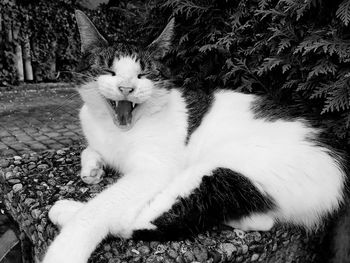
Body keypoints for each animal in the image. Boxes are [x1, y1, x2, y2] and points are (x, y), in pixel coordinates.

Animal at [42, 10, 346, 263]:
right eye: (109, 70)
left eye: (143, 74)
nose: (126, 88)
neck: (114, 129)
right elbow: (89, 149)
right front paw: (91, 170)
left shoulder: (154, 170)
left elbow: (103, 207)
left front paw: (67, 248)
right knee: (262, 221)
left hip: (225, 165)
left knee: (144, 219)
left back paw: (66, 210)